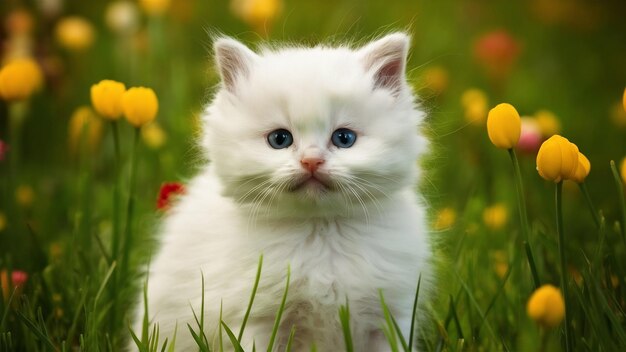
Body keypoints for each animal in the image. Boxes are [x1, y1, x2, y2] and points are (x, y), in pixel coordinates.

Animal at [132, 32, 432, 350]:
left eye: (344, 138)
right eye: (279, 139)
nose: (311, 160)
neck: (319, 231)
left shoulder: (390, 316)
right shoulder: (257, 319)